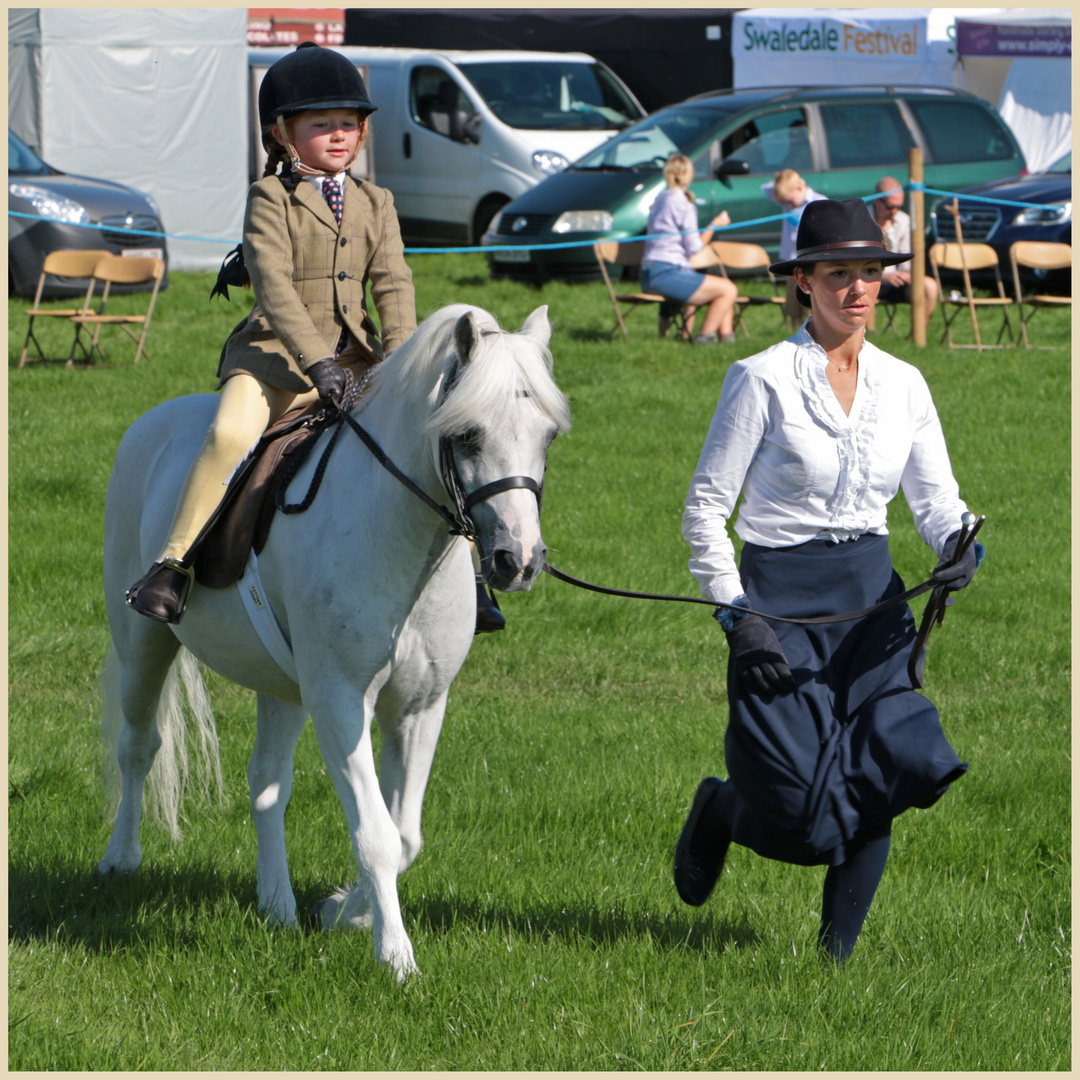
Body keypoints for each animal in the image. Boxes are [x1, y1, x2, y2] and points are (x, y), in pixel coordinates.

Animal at [97, 302, 570, 980]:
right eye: (468, 434)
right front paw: (395, 956)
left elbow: (404, 835)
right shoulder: (342, 703)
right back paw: (122, 857)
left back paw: (277, 905)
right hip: (143, 641)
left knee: (267, 783)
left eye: (548, 436)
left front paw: (345, 909)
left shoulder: (419, 708)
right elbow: (376, 833)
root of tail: (152, 423)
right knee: (139, 747)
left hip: (283, 687)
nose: (520, 561)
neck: (399, 537)